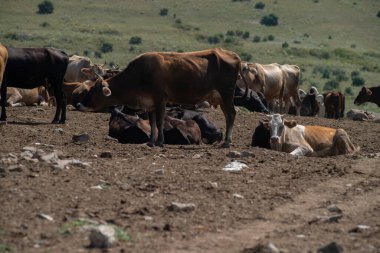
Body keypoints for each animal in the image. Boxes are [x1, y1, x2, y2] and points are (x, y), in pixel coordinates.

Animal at [77, 48, 249, 147]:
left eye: (94, 91)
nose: (79, 104)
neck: (139, 75)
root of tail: (234, 56)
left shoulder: (160, 100)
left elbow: (159, 122)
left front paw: (160, 141)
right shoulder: (150, 104)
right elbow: (152, 122)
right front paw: (151, 141)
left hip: (227, 93)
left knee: (231, 114)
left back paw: (227, 142)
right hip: (222, 97)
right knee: (228, 115)